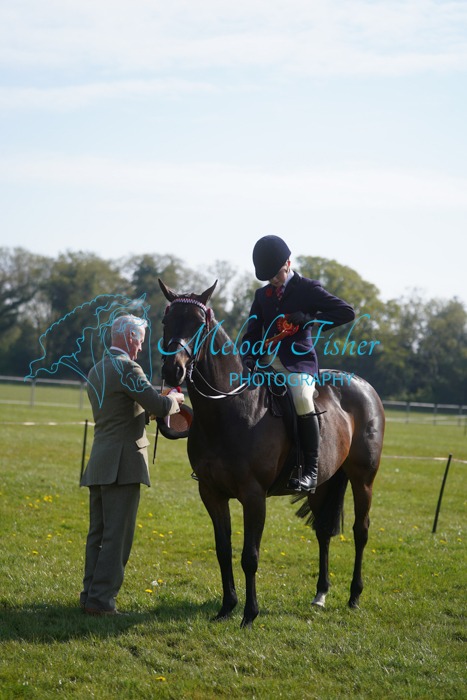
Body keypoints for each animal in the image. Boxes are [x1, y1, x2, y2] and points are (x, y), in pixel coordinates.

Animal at [158, 279, 385, 628]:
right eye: (165, 321)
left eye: (198, 324)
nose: (173, 371)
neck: (228, 410)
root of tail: (363, 385)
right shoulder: (210, 492)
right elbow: (223, 550)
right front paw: (227, 607)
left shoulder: (254, 496)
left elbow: (249, 556)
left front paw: (249, 614)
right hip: (322, 483)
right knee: (323, 532)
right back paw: (320, 594)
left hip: (363, 480)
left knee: (361, 532)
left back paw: (354, 596)